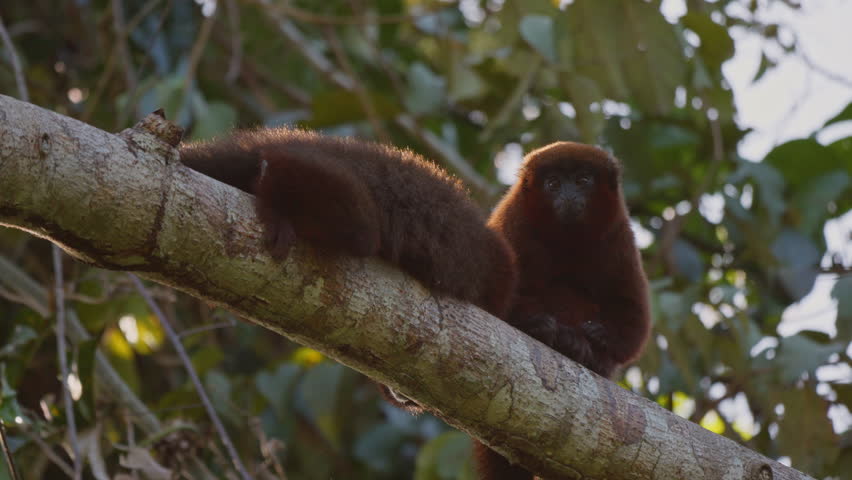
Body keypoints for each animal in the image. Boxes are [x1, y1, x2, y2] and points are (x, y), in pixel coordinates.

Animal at [475, 141, 652, 480]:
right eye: (553, 183)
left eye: (583, 180)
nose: (568, 194)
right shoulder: (516, 222)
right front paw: (537, 324)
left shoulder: (619, 236)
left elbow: (632, 313)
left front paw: (600, 336)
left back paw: (585, 352)